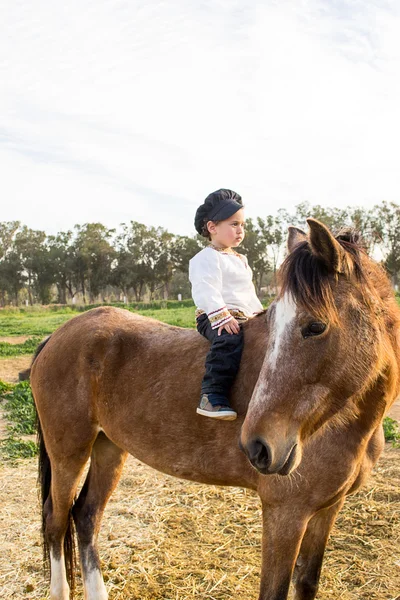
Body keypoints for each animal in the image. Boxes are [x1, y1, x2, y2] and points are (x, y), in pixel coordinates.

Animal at [32, 219, 400, 600]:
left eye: (315, 326)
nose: (258, 446)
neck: (348, 425)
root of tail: (57, 336)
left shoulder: (327, 510)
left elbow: (307, 582)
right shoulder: (286, 514)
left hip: (109, 448)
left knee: (86, 516)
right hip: (69, 453)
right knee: (55, 520)